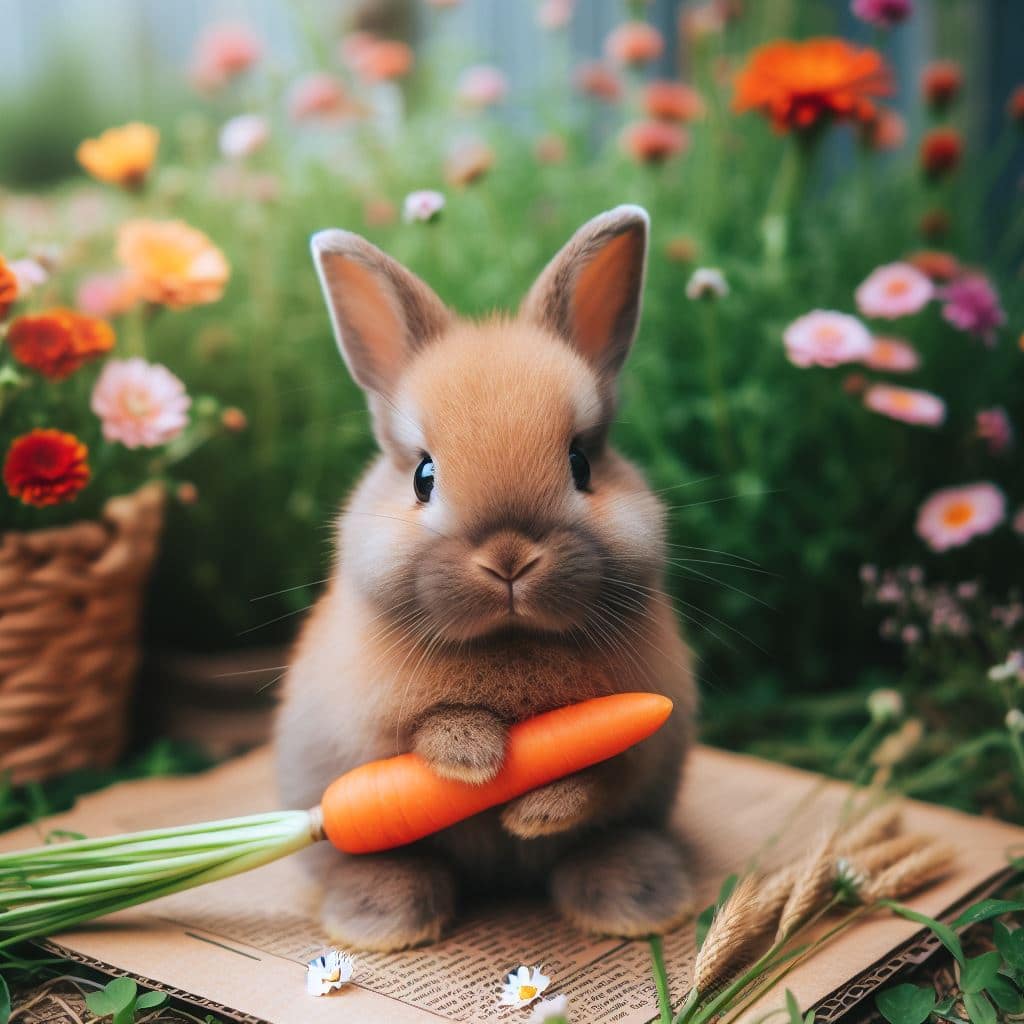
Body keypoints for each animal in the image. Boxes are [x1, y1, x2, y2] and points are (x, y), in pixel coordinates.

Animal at [275, 204, 697, 952]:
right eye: (423, 476)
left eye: (582, 463)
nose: (509, 559)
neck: (509, 643)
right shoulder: (373, 731)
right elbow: (423, 734)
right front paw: (473, 760)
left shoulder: (636, 745)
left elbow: (594, 774)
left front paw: (534, 812)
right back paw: (381, 920)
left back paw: (638, 902)